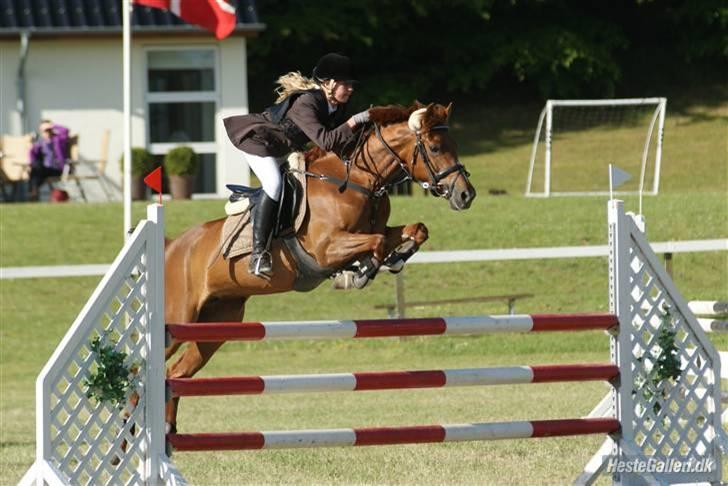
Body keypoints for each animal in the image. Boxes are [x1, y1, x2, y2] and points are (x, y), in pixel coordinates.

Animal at [162, 101, 474, 430]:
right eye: (435, 147)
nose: (466, 194)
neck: (360, 181)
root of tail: (172, 246)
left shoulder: (374, 230)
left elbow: (415, 230)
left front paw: (397, 257)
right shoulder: (326, 249)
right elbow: (375, 243)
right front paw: (358, 273)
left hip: (218, 323)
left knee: (176, 373)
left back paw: (168, 430)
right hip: (177, 320)